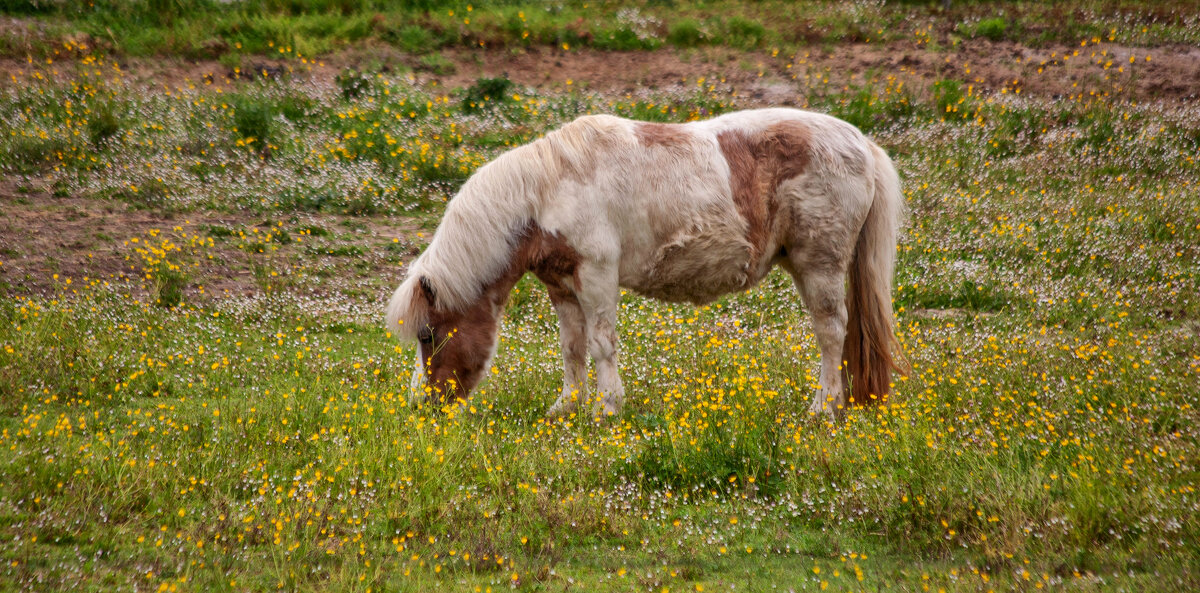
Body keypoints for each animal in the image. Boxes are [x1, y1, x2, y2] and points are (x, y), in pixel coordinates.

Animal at [388, 108, 902, 420]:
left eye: (428, 335)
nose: (422, 405)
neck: (549, 190)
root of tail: (862, 143)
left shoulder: (596, 276)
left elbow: (601, 344)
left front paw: (607, 408)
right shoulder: (562, 285)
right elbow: (572, 348)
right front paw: (566, 407)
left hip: (820, 264)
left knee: (831, 332)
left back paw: (823, 407)